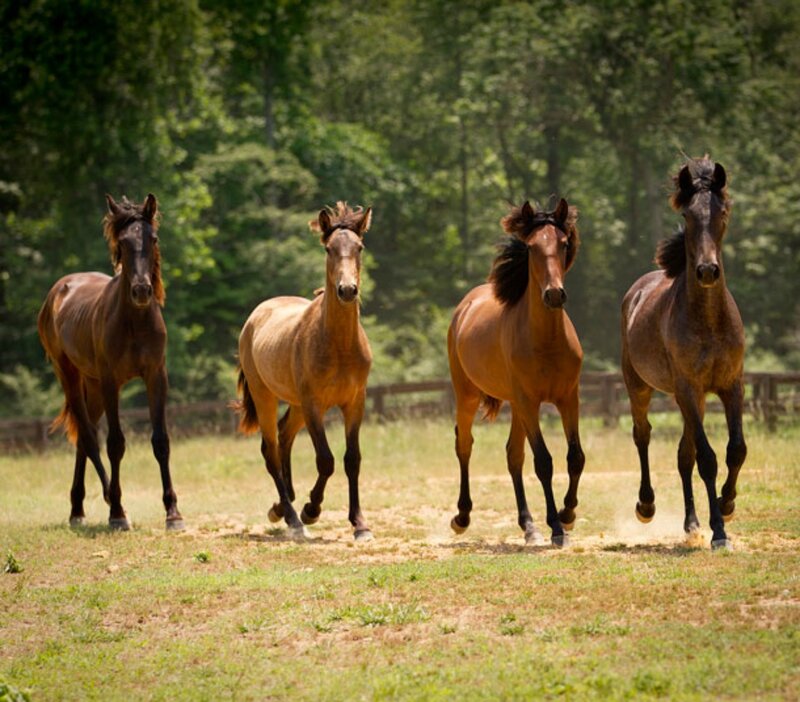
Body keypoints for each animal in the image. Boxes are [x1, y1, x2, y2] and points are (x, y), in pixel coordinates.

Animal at [37, 194, 183, 531]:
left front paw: (173, 513)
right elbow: (115, 443)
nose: (141, 290)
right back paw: (106, 503)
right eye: (123, 241)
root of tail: (59, 289)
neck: (135, 321)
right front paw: (117, 513)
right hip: (71, 377)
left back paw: (78, 509)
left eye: (153, 238)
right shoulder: (110, 382)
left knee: (83, 438)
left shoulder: (156, 377)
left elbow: (161, 441)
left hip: (92, 386)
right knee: (89, 438)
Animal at [234, 202, 374, 541]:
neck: (339, 344)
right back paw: (293, 517)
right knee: (270, 449)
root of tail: (255, 316)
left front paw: (360, 524)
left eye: (359, 247)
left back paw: (282, 507)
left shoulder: (355, 403)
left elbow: (352, 460)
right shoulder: (314, 405)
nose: (347, 290)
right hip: (267, 398)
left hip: (296, 406)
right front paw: (312, 510)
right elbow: (326, 460)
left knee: (284, 438)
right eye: (328, 249)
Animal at [448, 198, 585, 547]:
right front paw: (557, 527)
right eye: (532, 247)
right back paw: (462, 517)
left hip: (518, 407)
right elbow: (544, 462)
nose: (554, 294)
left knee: (513, 455)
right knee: (464, 445)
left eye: (564, 244)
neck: (546, 340)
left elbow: (575, 457)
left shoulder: (568, 399)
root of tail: (465, 306)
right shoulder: (529, 402)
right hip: (469, 396)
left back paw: (528, 526)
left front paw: (567, 514)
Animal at [621, 156, 746, 550]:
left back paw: (692, 524)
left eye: (722, 211)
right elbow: (707, 458)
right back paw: (646, 505)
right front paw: (719, 531)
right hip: (642, 388)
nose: (707, 271)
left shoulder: (731, 386)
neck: (708, 319)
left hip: (693, 399)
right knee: (643, 435)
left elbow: (735, 449)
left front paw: (727, 503)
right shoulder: (689, 388)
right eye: (688, 215)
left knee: (683, 454)